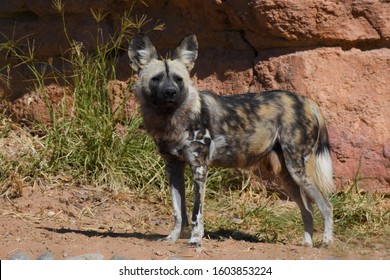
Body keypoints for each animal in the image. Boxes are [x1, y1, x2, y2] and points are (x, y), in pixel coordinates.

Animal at [129, 33, 336, 247]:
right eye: (157, 79)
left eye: (178, 79)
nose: (171, 92)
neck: (172, 119)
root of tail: (307, 101)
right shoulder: (173, 168)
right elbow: (179, 212)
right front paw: (172, 238)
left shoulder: (199, 168)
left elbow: (196, 213)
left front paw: (195, 240)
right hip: (288, 176)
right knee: (308, 210)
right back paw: (307, 244)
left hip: (299, 171)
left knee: (327, 206)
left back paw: (326, 242)